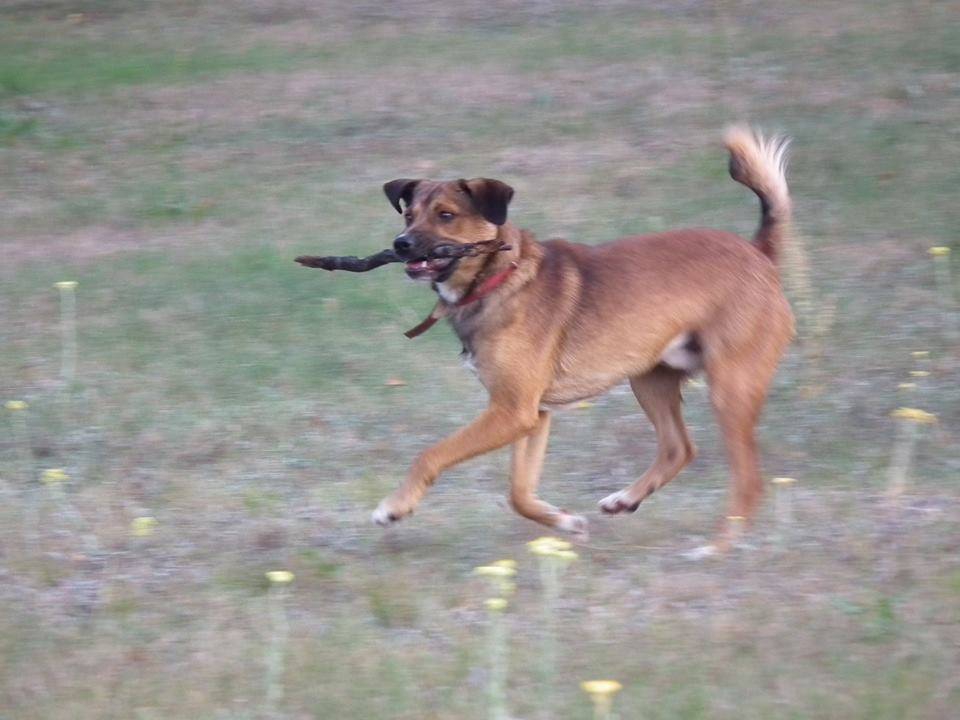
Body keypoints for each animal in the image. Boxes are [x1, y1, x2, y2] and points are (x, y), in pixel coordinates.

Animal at [370, 127, 794, 544]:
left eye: (446, 215)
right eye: (409, 215)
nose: (400, 244)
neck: (499, 277)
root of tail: (758, 253)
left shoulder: (511, 411)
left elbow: (431, 454)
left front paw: (395, 507)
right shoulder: (532, 415)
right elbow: (518, 493)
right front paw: (563, 521)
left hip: (729, 389)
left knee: (748, 482)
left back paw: (716, 548)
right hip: (650, 379)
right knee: (679, 448)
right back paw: (626, 500)